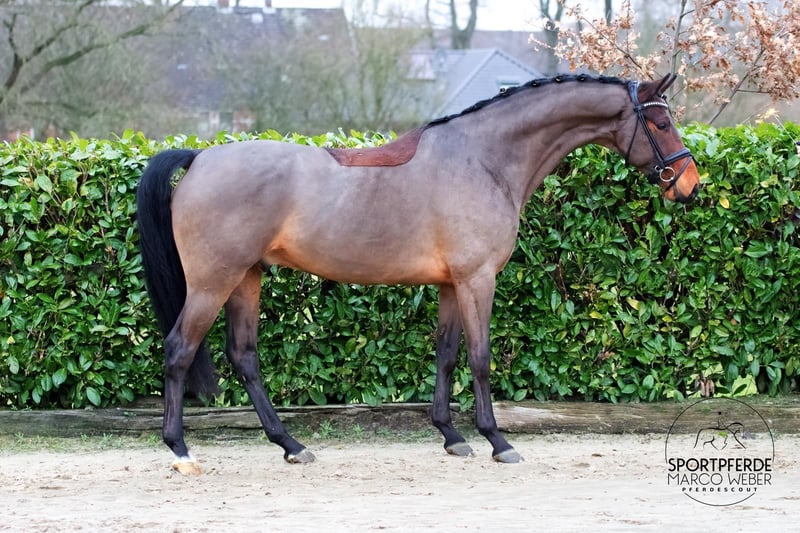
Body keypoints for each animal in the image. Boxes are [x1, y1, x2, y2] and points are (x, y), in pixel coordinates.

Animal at [136, 73, 700, 475]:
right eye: (662, 123)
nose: (690, 184)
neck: (482, 158)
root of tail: (201, 158)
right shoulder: (477, 280)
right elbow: (479, 359)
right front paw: (498, 441)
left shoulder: (452, 284)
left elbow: (447, 355)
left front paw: (452, 436)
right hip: (213, 283)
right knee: (179, 351)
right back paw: (181, 452)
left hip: (246, 279)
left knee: (245, 357)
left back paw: (292, 445)